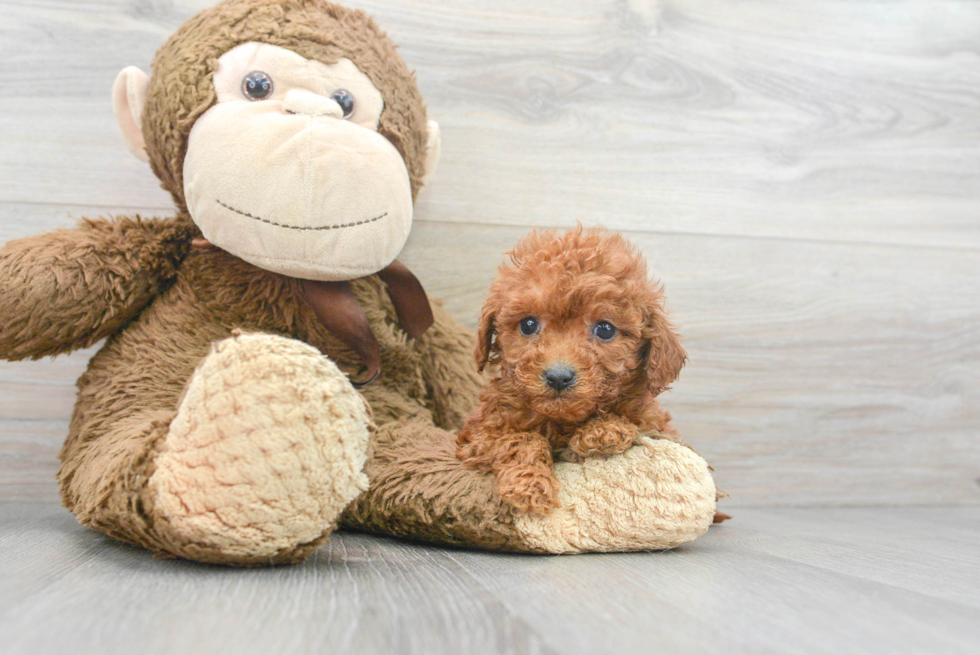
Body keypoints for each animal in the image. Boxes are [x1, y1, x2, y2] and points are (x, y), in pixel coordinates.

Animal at [460, 228, 688, 516]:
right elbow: (520, 439)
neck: (562, 421)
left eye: (605, 330)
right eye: (528, 325)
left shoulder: (654, 425)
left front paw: (604, 430)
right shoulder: (477, 436)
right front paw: (530, 485)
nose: (558, 377)